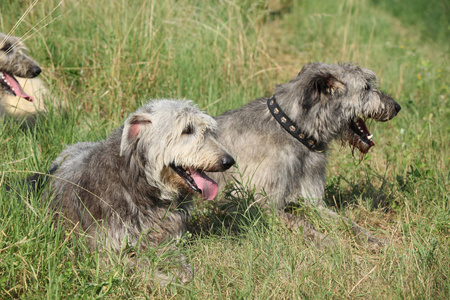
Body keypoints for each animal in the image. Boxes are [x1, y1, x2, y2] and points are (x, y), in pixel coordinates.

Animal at [35, 99, 236, 284]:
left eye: (209, 131)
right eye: (187, 129)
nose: (228, 161)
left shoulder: (167, 237)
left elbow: (173, 255)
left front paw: (182, 272)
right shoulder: (106, 253)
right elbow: (137, 266)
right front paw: (164, 280)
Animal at [209, 62, 402, 250]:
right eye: (366, 87)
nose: (396, 107)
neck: (294, 131)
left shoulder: (313, 202)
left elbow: (346, 221)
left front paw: (371, 238)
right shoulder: (254, 204)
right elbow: (299, 220)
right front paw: (325, 240)